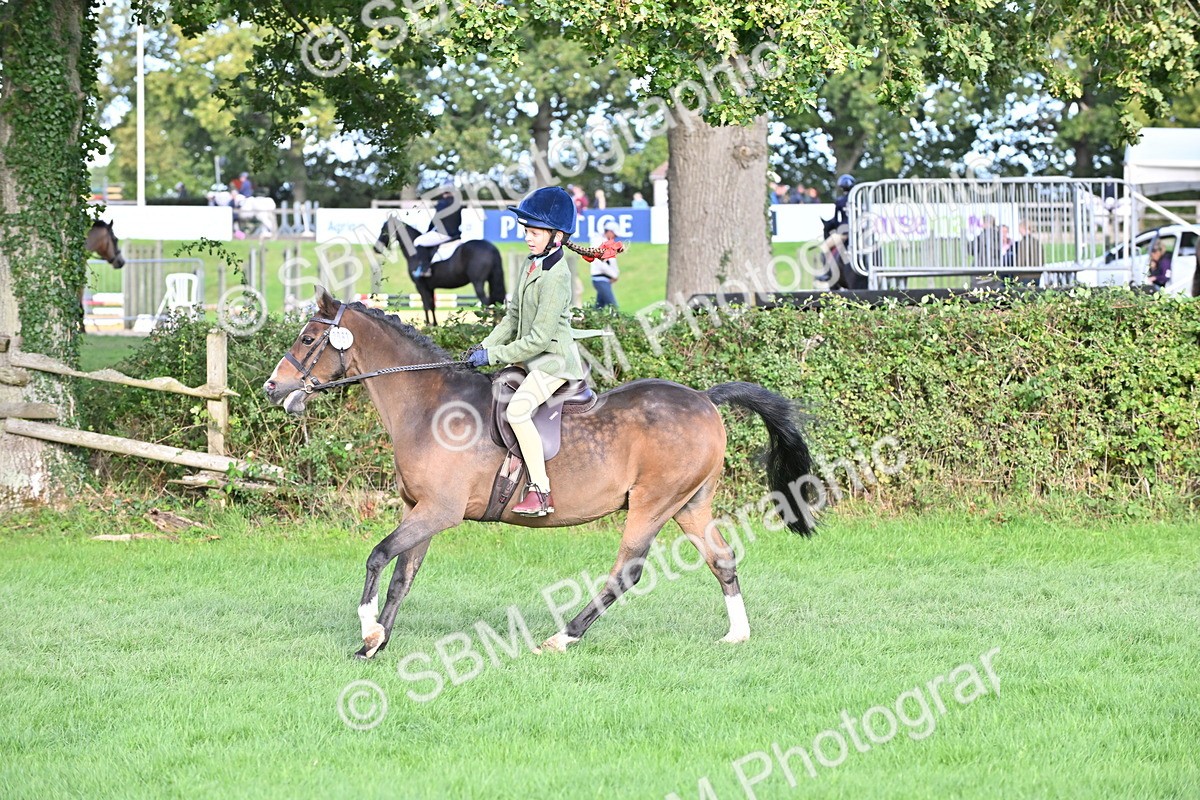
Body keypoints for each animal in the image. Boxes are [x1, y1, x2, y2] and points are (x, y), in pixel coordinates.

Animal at [264, 287, 817, 659]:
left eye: (308, 338)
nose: (272, 387)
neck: (429, 407)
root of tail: (703, 398)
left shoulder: (440, 511)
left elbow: (378, 556)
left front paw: (367, 631)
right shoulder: (420, 509)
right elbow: (403, 575)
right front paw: (375, 645)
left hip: (653, 503)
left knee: (628, 571)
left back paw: (561, 637)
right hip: (690, 504)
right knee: (721, 558)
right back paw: (737, 634)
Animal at [375, 217, 505, 326]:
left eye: (383, 229)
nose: (376, 249)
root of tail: (492, 248)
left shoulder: (420, 285)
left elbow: (426, 305)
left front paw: (428, 325)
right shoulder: (430, 287)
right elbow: (432, 305)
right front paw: (435, 325)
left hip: (478, 282)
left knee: (487, 303)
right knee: (495, 303)